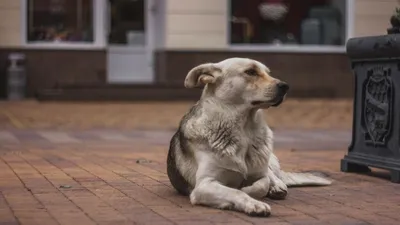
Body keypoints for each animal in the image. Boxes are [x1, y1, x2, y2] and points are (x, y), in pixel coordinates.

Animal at [166, 57, 332, 216]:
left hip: (266, 159)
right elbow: (235, 192)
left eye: (268, 73)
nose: (285, 86)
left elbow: (262, 184)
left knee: (273, 175)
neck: (244, 131)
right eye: (251, 72)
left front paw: (250, 190)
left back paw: (278, 187)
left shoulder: (259, 174)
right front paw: (253, 203)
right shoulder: (204, 185)